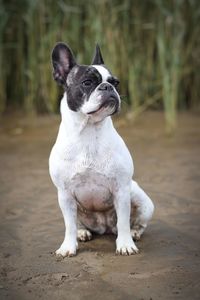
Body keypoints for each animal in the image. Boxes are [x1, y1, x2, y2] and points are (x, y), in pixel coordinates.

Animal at [48, 42, 155, 258]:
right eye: (87, 82)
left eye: (116, 82)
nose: (108, 87)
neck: (89, 131)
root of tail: (104, 227)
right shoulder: (64, 194)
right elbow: (69, 225)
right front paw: (68, 246)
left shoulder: (121, 189)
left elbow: (123, 221)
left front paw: (125, 244)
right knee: (77, 223)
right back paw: (82, 232)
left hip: (141, 199)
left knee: (136, 223)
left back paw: (134, 233)